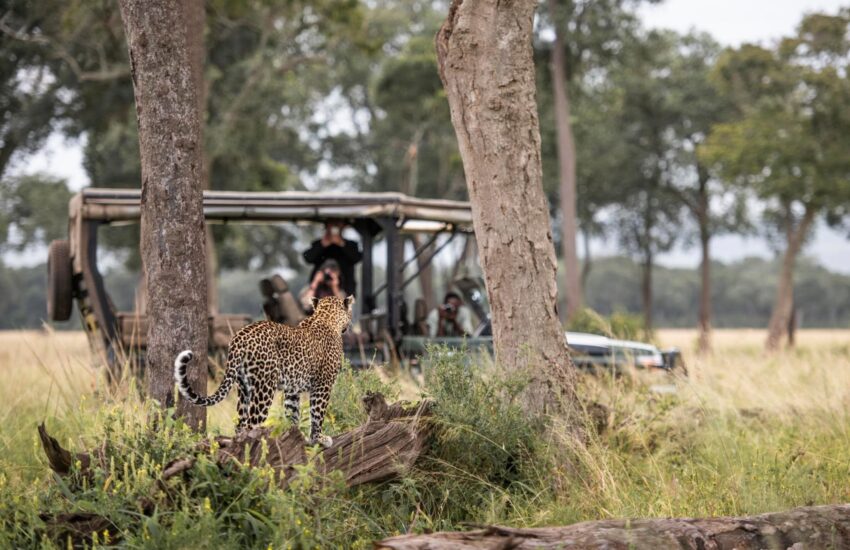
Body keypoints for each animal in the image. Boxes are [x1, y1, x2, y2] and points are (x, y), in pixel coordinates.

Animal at [174, 294, 354, 448]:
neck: (325, 317)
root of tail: (239, 337)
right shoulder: (323, 385)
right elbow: (317, 414)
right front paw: (319, 439)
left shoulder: (292, 390)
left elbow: (293, 413)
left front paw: (296, 437)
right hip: (264, 388)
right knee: (251, 425)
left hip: (243, 388)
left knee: (240, 426)